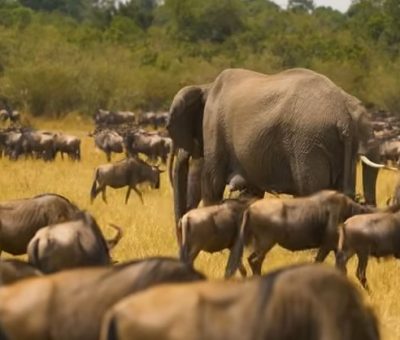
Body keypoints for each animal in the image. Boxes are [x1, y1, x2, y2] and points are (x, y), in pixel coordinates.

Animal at [168, 67, 384, 224]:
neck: (206, 86)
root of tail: (342, 117)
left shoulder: (214, 127)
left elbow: (212, 184)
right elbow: (251, 193)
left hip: (307, 142)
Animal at [225, 190, 372, 278]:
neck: (348, 210)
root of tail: (249, 209)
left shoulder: (336, 249)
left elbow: (341, 269)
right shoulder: (326, 246)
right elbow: (320, 262)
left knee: (251, 260)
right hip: (266, 243)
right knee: (255, 261)